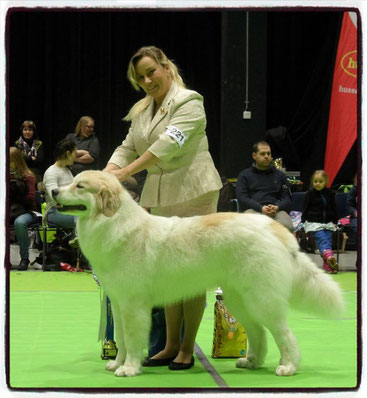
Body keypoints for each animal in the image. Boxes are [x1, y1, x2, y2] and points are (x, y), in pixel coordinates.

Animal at [53, 169, 344, 378]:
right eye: (72, 182)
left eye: (80, 186)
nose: (53, 191)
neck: (113, 223)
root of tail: (274, 228)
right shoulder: (118, 302)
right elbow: (122, 340)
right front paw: (117, 363)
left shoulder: (134, 306)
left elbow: (134, 339)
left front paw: (130, 369)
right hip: (239, 299)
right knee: (258, 332)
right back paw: (250, 361)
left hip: (261, 299)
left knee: (284, 333)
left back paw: (288, 367)